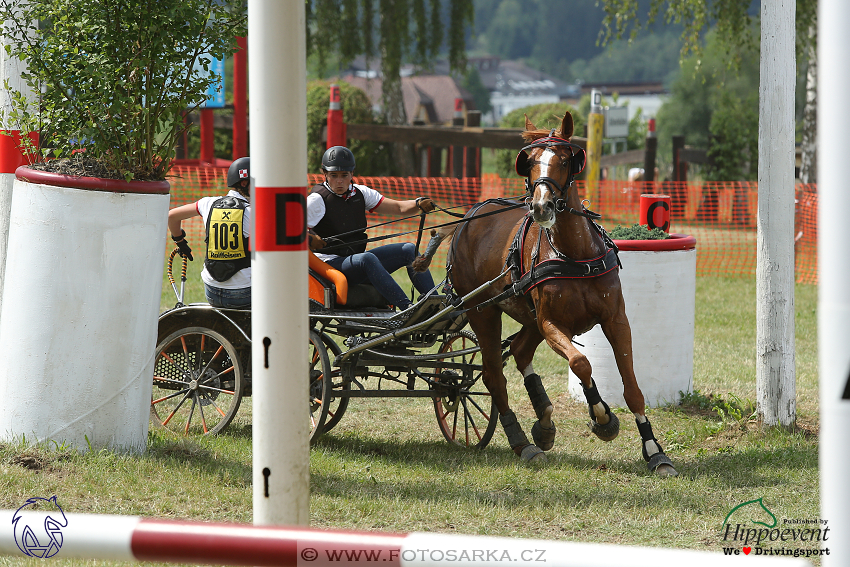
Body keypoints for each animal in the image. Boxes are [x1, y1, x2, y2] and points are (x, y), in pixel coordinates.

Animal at [430, 108, 676, 478]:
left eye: (564, 159)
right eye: (529, 161)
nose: (541, 207)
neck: (574, 254)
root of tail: (468, 218)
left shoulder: (616, 320)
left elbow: (632, 388)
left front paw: (654, 451)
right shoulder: (551, 325)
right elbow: (581, 363)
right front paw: (602, 417)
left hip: (527, 318)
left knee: (519, 352)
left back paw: (543, 422)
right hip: (483, 312)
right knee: (493, 375)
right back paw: (522, 442)